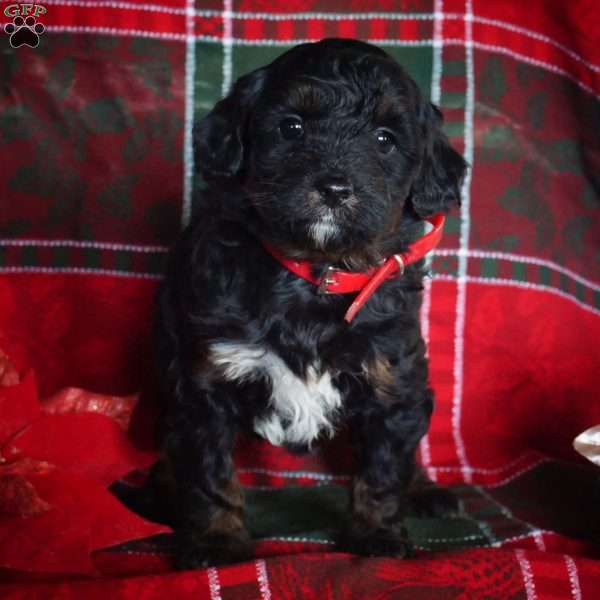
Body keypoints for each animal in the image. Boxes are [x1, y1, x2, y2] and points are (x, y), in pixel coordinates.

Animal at [152, 38, 466, 572]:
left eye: (384, 139)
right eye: (292, 127)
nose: (335, 188)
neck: (318, 272)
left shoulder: (392, 376)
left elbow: (384, 467)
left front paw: (376, 534)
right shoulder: (205, 378)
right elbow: (210, 472)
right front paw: (216, 542)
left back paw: (427, 490)